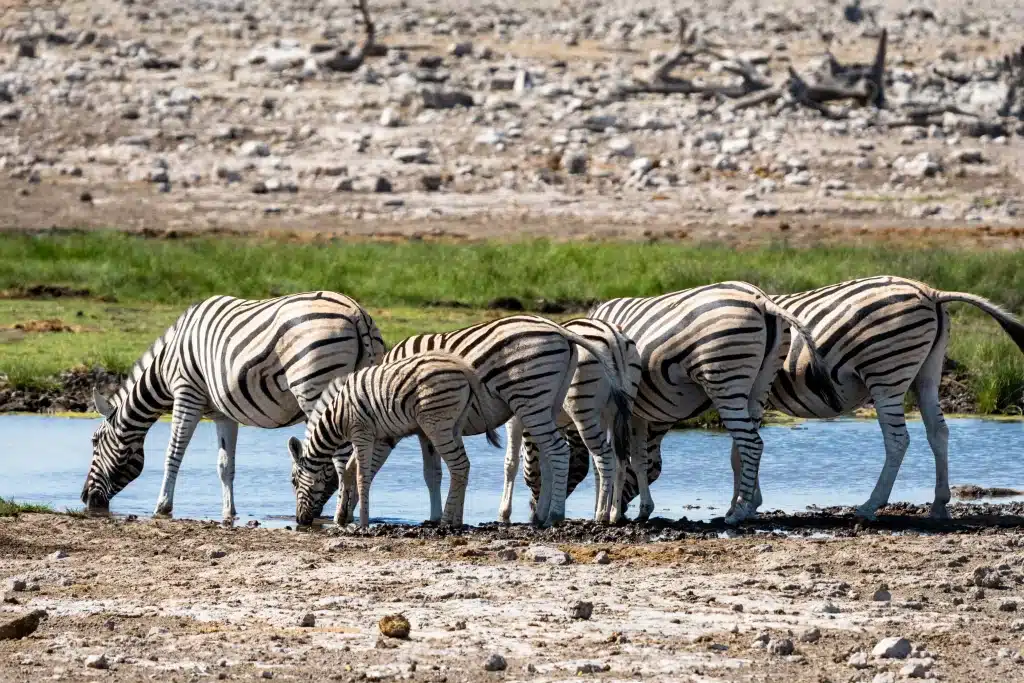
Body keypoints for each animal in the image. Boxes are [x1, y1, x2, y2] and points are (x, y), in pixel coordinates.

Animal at [79, 290, 385, 524]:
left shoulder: (186, 393)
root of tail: (356, 313)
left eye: (94, 441)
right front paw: (229, 512)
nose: (85, 499)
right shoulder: (223, 414)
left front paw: (162, 506)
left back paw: (342, 515)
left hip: (317, 390)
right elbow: (225, 465)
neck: (166, 365)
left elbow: (173, 453)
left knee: (343, 458)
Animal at [288, 350, 499, 528]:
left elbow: (361, 476)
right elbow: (349, 470)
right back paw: (457, 520)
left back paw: (446, 521)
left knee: (459, 466)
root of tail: (464, 369)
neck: (337, 416)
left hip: (436, 425)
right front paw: (340, 517)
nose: (300, 520)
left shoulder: (361, 434)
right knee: (465, 466)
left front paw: (363, 523)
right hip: (455, 425)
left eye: (293, 481)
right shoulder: (371, 437)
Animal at [497, 319, 638, 524]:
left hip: (583, 410)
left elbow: (511, 463)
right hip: (618, 411)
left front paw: (504, 512)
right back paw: (613, 513)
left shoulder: (516, 417)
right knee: (618, 460)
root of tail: (613, 337)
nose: (532, 511)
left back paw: (601, 515)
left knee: (605, 456)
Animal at [520, 280, 839, 528]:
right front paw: (638, 510)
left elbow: (611, 460)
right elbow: (638, 458)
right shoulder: (637, 414)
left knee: (751, 444)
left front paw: (608, 511)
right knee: (742, 448)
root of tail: (761, 300)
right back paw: (742, 506)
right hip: (759, 384)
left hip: (725, 375)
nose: (532, 516)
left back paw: (739, 513)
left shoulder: (614, 412)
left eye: (529, 461)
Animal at [585, 278, 1024, 524]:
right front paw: (747, 501)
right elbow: (736, 452)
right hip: (925, 374)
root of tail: (931, 291)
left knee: (899, 441)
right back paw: (938, 505)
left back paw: (869, 506)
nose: (621, 510)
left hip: (886, 372)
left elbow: (733, 448)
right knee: (938, 433)